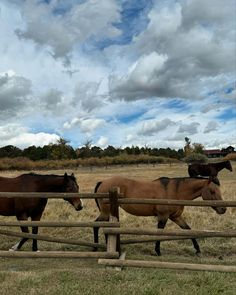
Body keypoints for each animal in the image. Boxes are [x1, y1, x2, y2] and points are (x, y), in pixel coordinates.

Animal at [93, 176, 226, 256]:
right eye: (213, 191)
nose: (223, 209)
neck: (175, 191)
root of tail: (103, 182)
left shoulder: (176, 217)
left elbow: (188, 230)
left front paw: (198, 250)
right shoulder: (163, 216)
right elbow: (159, 233)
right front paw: (157, 251)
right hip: (106, 213)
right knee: (97, 225)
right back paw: (97, 248)